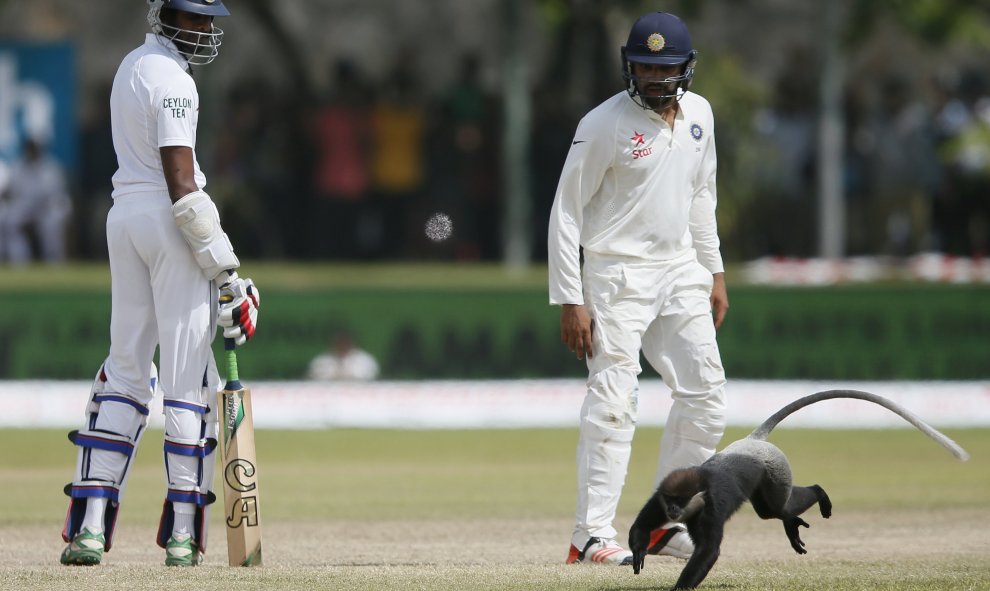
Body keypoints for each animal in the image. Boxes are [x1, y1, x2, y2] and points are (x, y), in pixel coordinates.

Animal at [632, 390, 972, 588]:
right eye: (670, 500)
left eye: (680, 501)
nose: (673, 510)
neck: (697, 501)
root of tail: (753, 442)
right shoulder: (657, 499)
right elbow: (643, 525)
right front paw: (638, 554)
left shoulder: (711, 510)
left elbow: (708, 550)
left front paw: (679, 586)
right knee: (773, 510)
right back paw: (792, 523)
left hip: (775, 473)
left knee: (774, 508)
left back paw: (819, 495)